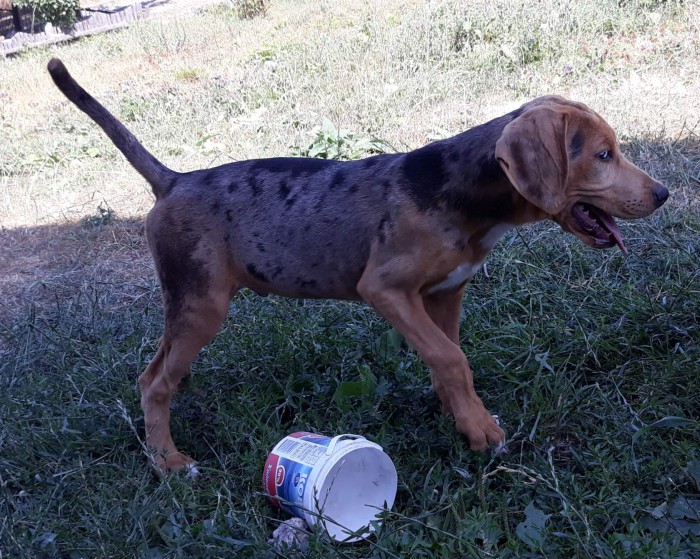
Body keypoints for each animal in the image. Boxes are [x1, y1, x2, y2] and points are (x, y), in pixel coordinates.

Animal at [46, 59, 668, 474]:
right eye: (604, 154)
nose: (663, 195)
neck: (468, 197)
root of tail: (173, 180)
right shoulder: (386, 289)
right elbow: (452, 358)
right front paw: (481, 429)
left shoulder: (445, 293)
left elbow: (447, 358)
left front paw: (458, 416)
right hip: (202, 302)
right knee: (154, 382)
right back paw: (168, 460)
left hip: (188, 304)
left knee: (155, 372)